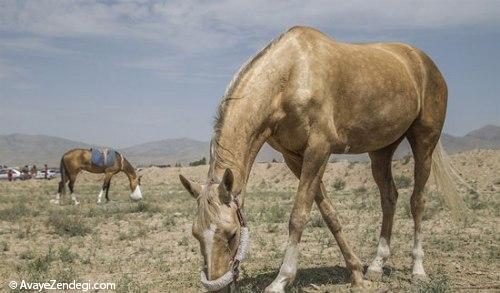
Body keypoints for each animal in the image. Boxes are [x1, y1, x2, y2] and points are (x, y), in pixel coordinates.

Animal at [178, 26, 466, 290]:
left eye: (232, 234)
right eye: (195, 234)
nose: (217, 286)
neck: (290, 75)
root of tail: (423, 62)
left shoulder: (319, 149)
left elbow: (298, 216)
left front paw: (281, 280)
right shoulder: (294, 156)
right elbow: (329, 213)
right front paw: (356, 273)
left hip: (424, 142)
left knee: (417, 201)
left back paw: (418, 269)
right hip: (381, 151)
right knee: (389, 198)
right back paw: (376, 266)